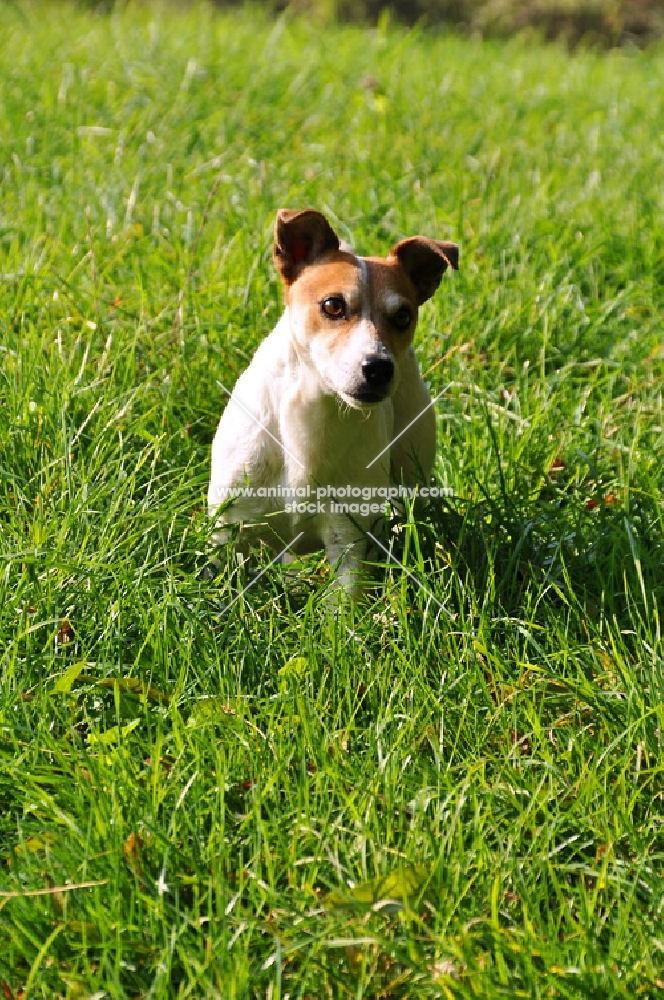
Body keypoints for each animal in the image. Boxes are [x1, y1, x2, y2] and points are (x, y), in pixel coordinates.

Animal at [208, 209, 456, 592]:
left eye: (403, 316)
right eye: (333, 305)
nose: (379, 367)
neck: (314, 412)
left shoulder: (347, 537)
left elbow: (342, 598)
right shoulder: (230, 525)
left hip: (411, 469)